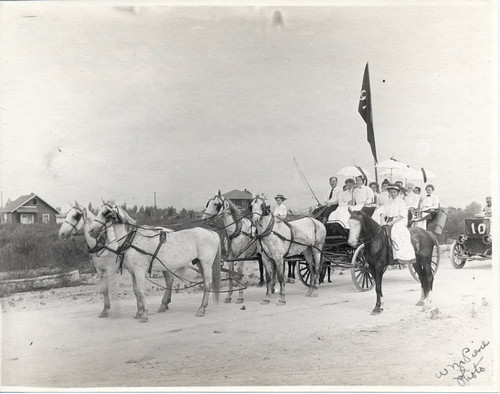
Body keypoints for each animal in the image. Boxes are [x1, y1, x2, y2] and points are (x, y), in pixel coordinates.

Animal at [89, 202, 222, 322]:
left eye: (105, 213)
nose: (91, 230)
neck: (132, 239)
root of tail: (213, 233)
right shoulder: (133, 272)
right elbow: (136, 291)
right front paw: (138, 312)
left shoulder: (139, 270)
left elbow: (141, 291)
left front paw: (144, 315)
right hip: (199, 263)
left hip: (206, 263)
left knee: (207, 283)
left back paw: (201, 309)